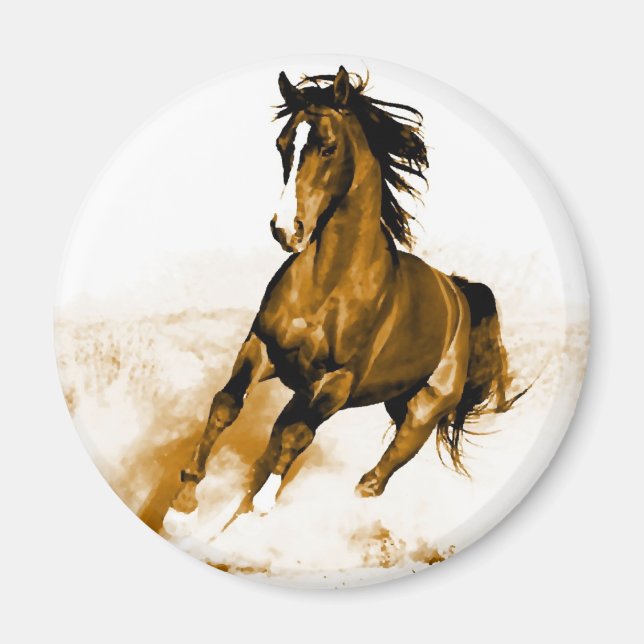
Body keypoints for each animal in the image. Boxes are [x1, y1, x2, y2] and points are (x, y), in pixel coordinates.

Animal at [171, 66, 524, 524]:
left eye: (328, 148)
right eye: (283, 145)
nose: (286, 229)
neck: (328, 286)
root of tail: (458, 293)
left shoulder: (337, 381)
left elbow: (297, 435)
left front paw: (264, 502)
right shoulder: (263, 348)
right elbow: (226, 405)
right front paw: (185, 500)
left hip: (421, 409)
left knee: (381, 469)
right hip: (345, 395)